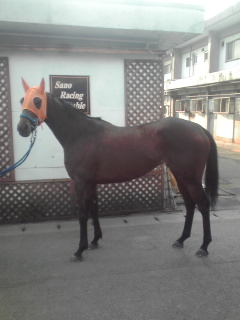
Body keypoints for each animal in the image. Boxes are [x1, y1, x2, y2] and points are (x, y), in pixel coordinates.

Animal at [17, 79, 218, 262]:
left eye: (37, 101)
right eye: (22, 100)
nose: (22, 128)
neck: (81, 134)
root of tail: (198, 128)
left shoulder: (82, 182)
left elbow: (83, 214)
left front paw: (80, 250)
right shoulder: (91, 183)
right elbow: (94, 208)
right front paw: (95, 240)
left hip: (191, 178)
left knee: (203, 205)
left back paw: (204, 247)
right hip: (181, 175)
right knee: (190, 205)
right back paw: (181, 239)